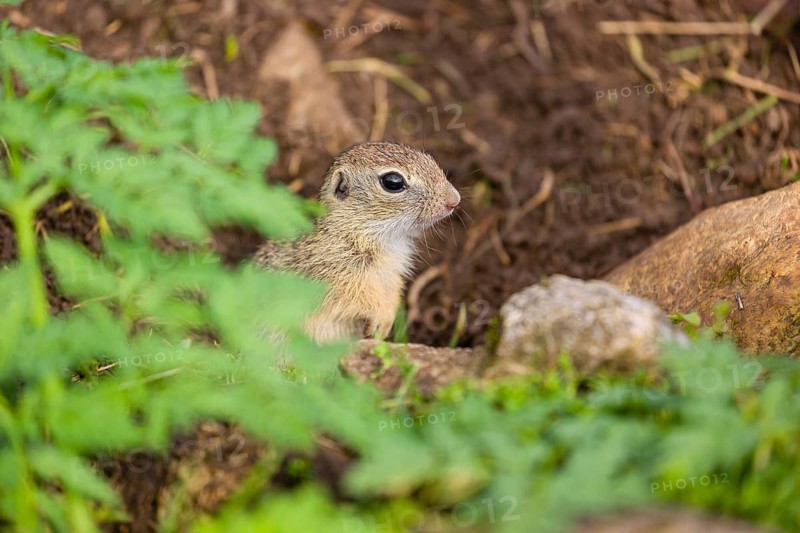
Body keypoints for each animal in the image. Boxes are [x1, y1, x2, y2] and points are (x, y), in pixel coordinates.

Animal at [254, 142, 461, 343]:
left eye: (429, 159)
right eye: (393, 182)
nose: (454, 200)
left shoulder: (393, 277)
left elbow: (392, 294)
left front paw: (386, 324)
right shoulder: (339, 280)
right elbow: (360, 300)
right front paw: (378, 319)